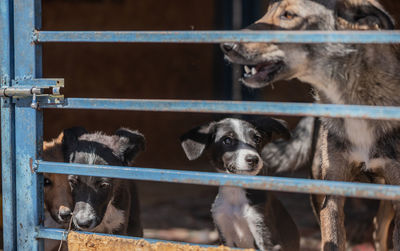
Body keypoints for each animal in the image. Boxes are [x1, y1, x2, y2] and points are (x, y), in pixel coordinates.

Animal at [180, 118, 298, 251]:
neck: (235, 192)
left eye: (257, 139)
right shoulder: (224, 234)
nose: (253, 159)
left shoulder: (264, 232)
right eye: (227, 140)